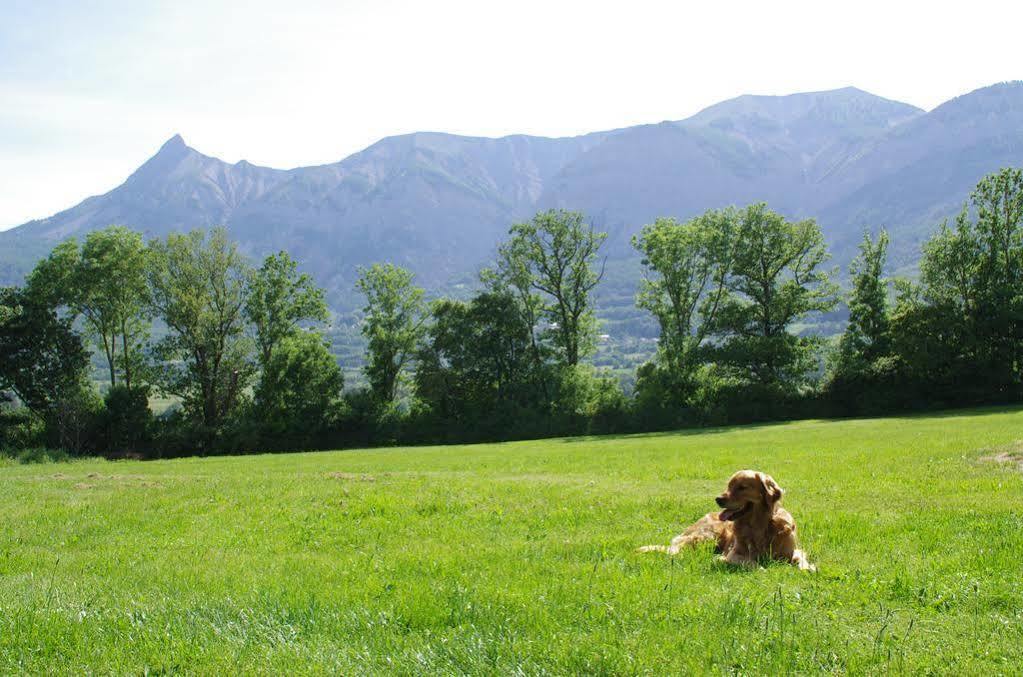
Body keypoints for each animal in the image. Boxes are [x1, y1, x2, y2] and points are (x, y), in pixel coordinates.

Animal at [638, 472, 814, 572]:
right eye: (729, 485)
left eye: (742, 487)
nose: (718, 499)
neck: (760, 525)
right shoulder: (733, 554)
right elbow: (748, 561)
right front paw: (760, 568)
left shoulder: (792, 551)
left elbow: (801, 558)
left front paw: (808, 567)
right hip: (708, 536)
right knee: (676, 547)